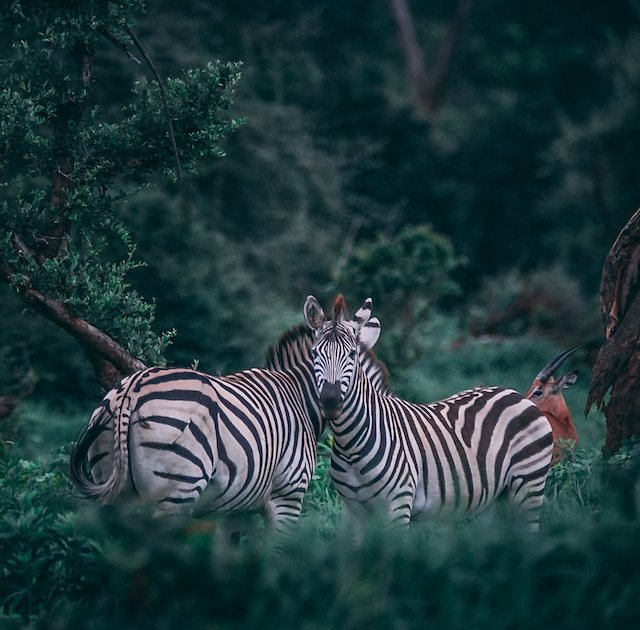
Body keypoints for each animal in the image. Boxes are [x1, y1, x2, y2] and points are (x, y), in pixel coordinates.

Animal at [69, 324, 389, 531]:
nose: (331, 401)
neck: (298, 396)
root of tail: (132, 387)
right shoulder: (287, 494)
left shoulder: (236, 506)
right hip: (176, 491)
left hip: (114, 485)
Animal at [303, 294, 554, 532]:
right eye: (314, 353)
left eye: (352, 354)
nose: (330, 402)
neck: (351, 445)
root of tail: (516, 394)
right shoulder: (353, 511)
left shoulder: (398, 505)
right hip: (497, 498)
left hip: (529, 484)